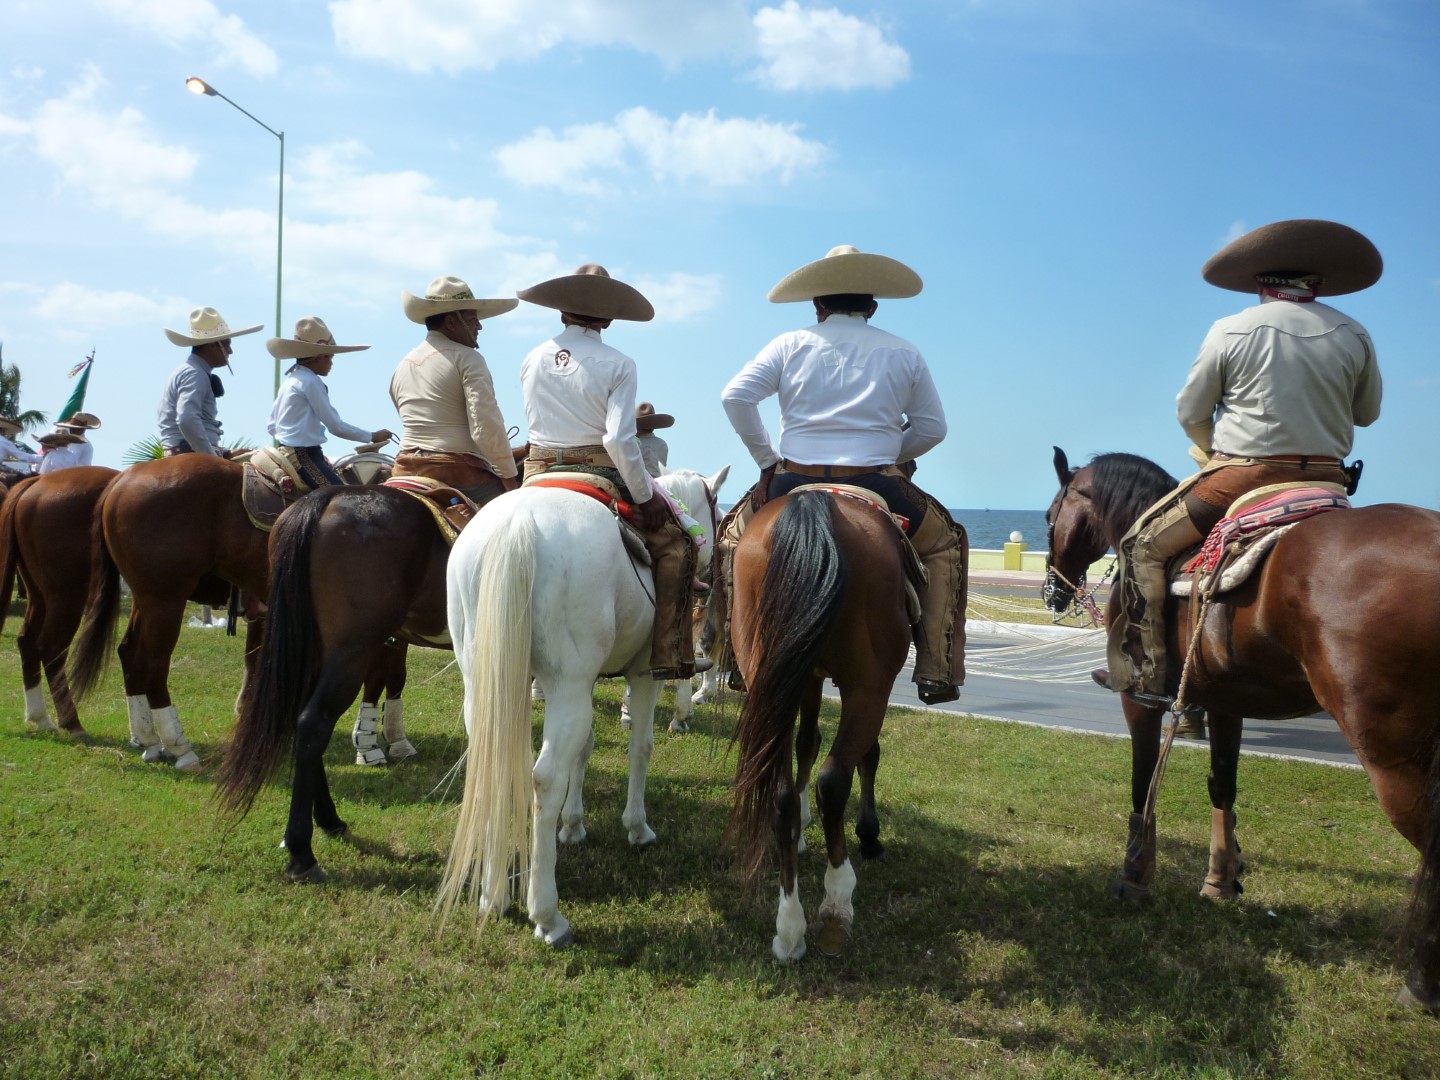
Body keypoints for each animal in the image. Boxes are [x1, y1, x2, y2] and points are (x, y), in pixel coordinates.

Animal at [0, 466, 119, 737]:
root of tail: (36, 483)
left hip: (40, 596)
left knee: (27, 641)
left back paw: (40, 717)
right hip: (67, 597)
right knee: (51, 649)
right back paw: (71, 721)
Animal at [434, 466, 731, 944]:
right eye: (715, 507)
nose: (717, 561)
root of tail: (515, 526)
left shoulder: (584, 682)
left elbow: (585, 748)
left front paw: (573, 825)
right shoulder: (642, 674)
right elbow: (641, 747)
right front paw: (637, 827)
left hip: (486, 682)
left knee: (496, 760)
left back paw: (493, 894)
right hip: (566, 684)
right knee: (545, 778)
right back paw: (546, 914)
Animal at [725, 486, 904, 961]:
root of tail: (815, 505)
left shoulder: (802, 674)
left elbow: (806, 741)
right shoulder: (867, 687)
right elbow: (867, 754)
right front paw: (869, 834)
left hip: (767, 669)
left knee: (780, 792)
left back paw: (789, 929)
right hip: (868, 685)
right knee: (833, 779)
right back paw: (837, 903)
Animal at [1042, 446, 1440, 1013]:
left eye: (1048, 517)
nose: (1053, 591)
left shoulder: (1137, 700)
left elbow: (1143, 783)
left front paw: (1136, 875)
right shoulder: (1225, 702)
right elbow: (1222, 786)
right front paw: (1221, 879)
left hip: (1393, 755)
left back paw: (1423, 982)